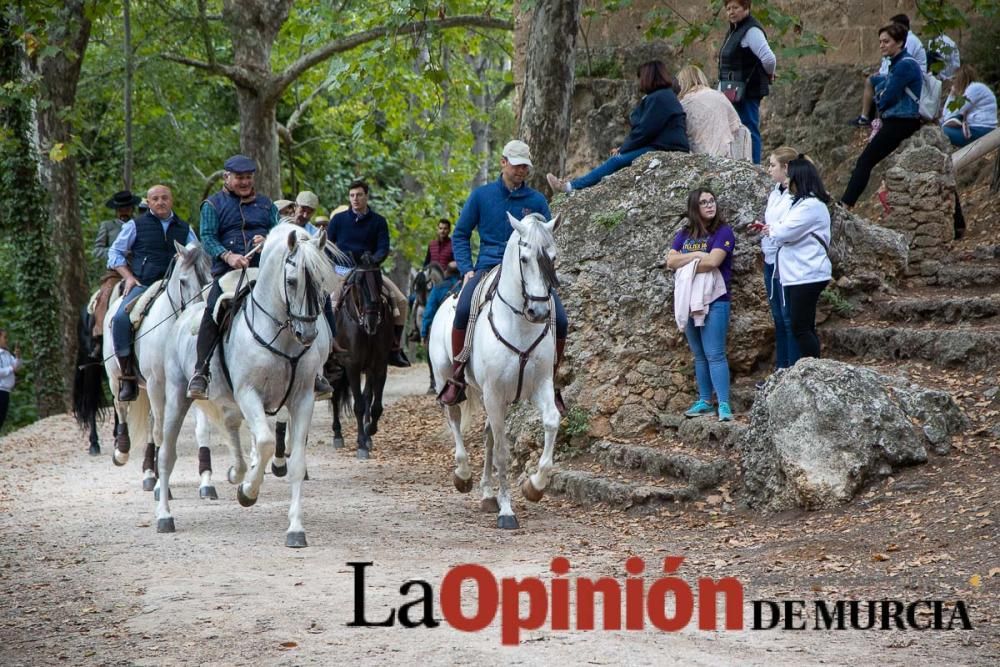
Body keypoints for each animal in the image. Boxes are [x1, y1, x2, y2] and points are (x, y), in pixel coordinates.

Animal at [102, 243, 214, 494]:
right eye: (183, 281)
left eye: (210, 279)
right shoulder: (155, 384)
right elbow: (160, 430)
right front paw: (162, 488)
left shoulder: (192, 385)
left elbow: (201, 430)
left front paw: (206, 480)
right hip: (117, 378)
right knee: (121, 407)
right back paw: (122, 453)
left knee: (152, 422)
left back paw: (150, 472)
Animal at [158, 224, 340, 548]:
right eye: (291, 281)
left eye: (320, 280)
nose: (307, 334)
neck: (281, 336)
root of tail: (185, 316)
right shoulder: (249, 394)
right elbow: (266, 442)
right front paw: (247, 492)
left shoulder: (302, 400)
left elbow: (295, 463)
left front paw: (295, 529)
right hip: (177, 398)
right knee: (166, 453)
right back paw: (165, 517)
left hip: (227, 403)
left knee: (231, 430)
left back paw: (237, 471)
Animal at [430, 211, 564, 528]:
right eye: (524, 259)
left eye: (552, 257)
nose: (540, 312)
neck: (520, 324)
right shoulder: (493, 394)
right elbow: (503, 451)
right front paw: (507, 511)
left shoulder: (539, 386)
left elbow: (551, 421)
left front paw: (534, 486)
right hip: (447, 380)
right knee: (455, 419)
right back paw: (463, 476)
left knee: (488, 434)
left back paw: (488, 494)